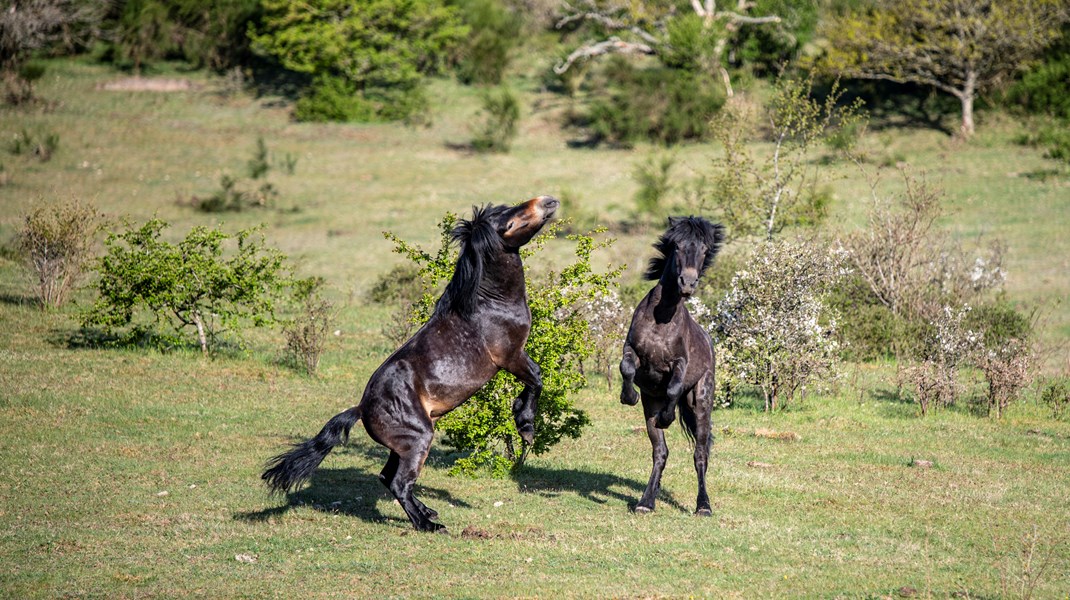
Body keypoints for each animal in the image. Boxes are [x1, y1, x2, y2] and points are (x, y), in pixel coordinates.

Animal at [263, 195, 560, 528]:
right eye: (508, 221)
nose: (548, 201)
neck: (488, 303)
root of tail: (361, 408)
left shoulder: (516, 356)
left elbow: (536, 377)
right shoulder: (510, 357)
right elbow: (537, 378)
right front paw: (526, 427)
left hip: (402, 445)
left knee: (387, 477)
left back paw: (428, 512)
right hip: (418, 439)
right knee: (399, 482)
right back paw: (429, 525)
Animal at [620, 214, 727, 515]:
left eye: (704, 249)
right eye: (677, 245)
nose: (688, 283)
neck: (662, 317)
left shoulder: (680, 363)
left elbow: (674, 387)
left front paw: (667, 417)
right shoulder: (632, 351)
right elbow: (626, 369)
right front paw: (628, 396)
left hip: (701, 403)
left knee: (700, 454)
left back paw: (703, 506)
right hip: (650, 407)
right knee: (661, 452)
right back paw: (646, 502)